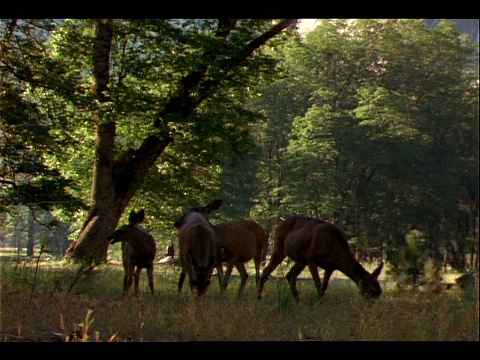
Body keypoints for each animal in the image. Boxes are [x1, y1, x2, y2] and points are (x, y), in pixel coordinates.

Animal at [256, 215, 384, 302]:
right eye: (371, 290)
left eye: (379, 291)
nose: (372, 305)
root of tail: (279, 224)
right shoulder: (311, 258)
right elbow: (317, 283)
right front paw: (320, 304)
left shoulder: (330, 267)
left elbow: (324, 287)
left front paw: (320, 302)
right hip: (280, 248)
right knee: (266, 272)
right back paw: (259, 298)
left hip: (301, 259)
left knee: (290, 276)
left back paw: (298, 301)